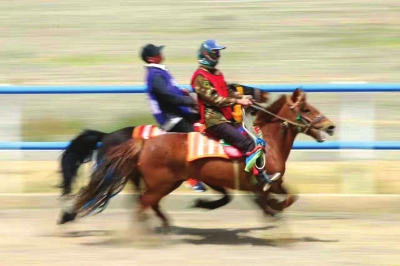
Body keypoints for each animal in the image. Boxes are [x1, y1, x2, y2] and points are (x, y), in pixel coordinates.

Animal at [74, 88, 334, 230]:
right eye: (307, 109)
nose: (330, 126)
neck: (267, 143)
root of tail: (143, 143)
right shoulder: (259, 184)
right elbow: (278, 201)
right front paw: (275, 213)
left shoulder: (268, 184)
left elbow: (289, 196)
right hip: (161, 183)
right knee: (143, 204)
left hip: (165, 183)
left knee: (146, 204)